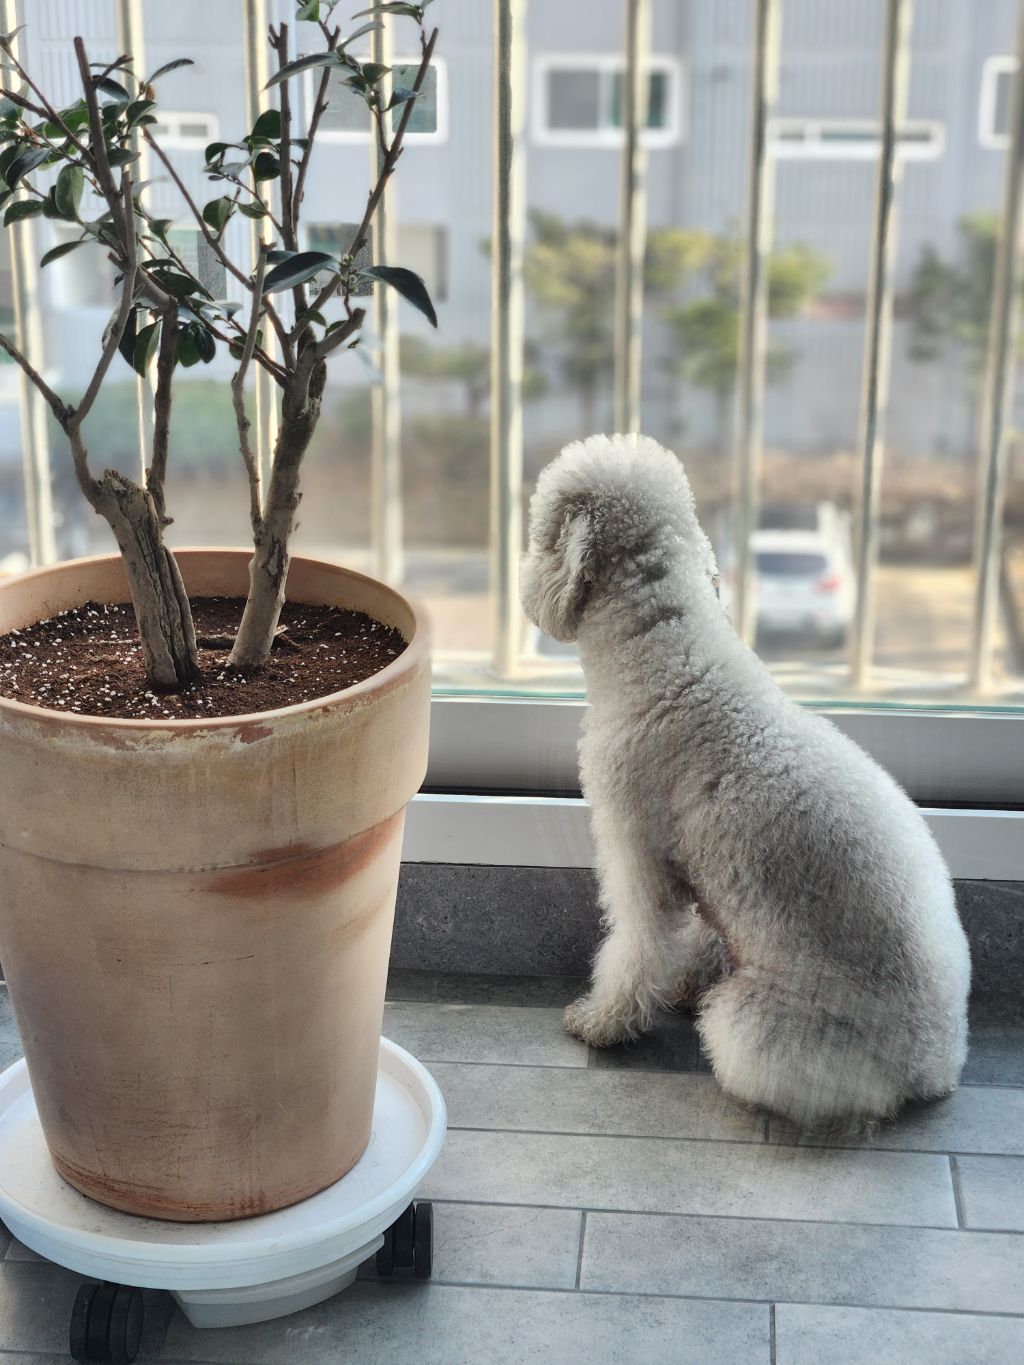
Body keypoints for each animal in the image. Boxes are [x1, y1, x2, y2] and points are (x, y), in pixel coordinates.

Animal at [520, 433, 970, 1131]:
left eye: (542, 528)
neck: (664, 648)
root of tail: (937, 1063)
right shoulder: (708, 866)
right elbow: (698, 935)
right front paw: (681, 985)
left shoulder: (637, 849)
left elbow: (635, 944)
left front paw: (602, 1022)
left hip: (761, 1026)